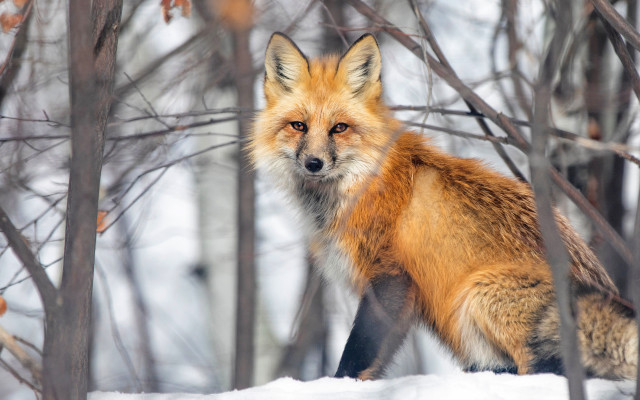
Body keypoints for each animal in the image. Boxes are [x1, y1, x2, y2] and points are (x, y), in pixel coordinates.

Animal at [249, 32, 638, 381]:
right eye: (299, 126)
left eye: (339, 128)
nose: (314, 163)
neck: (361, 184)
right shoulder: (402, 300)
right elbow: (375, 361)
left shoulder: (391, 276)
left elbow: (357, 354)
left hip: (480, 294)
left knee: (547, 369)